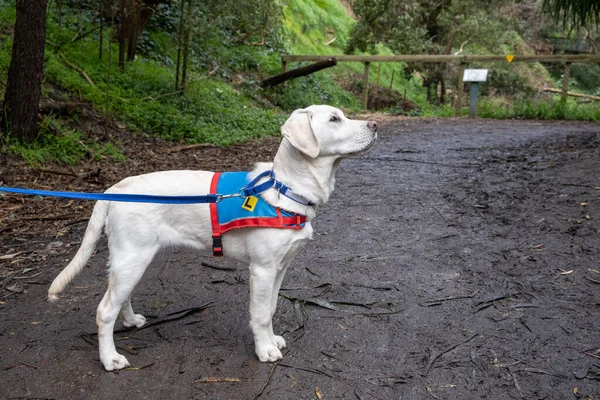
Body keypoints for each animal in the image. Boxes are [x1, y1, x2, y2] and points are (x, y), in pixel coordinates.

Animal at [48, 104, 376, 370]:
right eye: (334, 119)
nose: (374, 125)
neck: (285, 189)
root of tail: (117, 187)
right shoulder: (262, 270)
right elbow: (260, 314)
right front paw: (265, 350)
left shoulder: (280, 268)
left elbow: (270, 309)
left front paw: (272, 340)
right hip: (133, 258)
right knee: (104, 311)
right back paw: (109, 359)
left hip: (132, 260)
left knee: (119, 296)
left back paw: (130, 321)